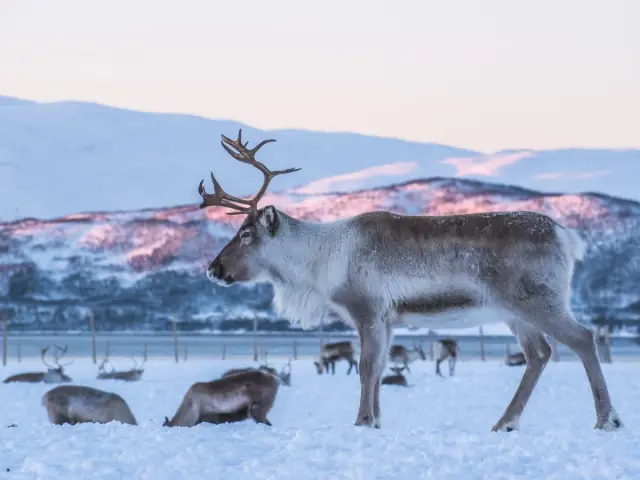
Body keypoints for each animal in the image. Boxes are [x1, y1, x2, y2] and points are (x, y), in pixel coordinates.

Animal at [197, 128, 622, 432]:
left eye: (245, 234)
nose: (213, 269)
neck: (318, 262)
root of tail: (568, 237)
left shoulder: (366, 308)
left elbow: (367, 366)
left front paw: (362, 421)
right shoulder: (389, 317)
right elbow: (382, 366)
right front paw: (376, 420)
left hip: (537, 299)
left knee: (583, 338)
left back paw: (607, 419)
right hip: (515, 311)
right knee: (540, 354)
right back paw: (505, 422)